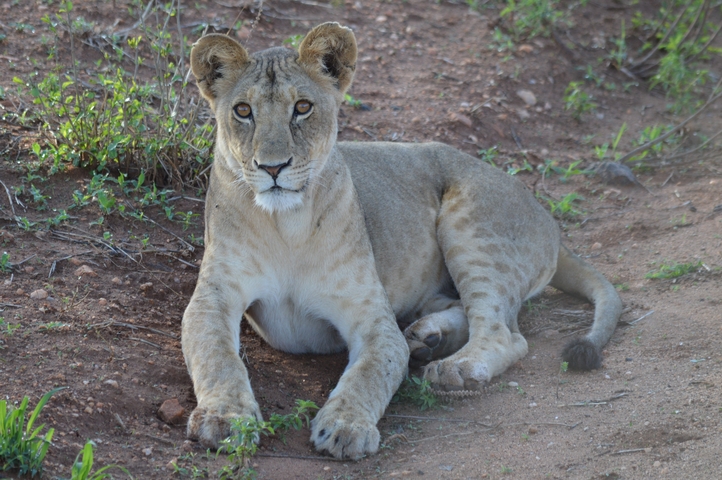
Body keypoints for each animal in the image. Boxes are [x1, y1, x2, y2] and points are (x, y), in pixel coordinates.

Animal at [181, 22, 622, 460]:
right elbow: (216, 355)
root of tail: (545, 215)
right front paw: (226, 418)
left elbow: (372, 371)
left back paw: (453, 366)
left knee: (506, 333)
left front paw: (346, 427)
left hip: (471, 227)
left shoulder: (372, 317)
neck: (286, 224)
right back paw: (428, 337)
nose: (273, 167)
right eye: (243, 111)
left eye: (302, 107)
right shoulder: (213, 297)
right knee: (464, 312)